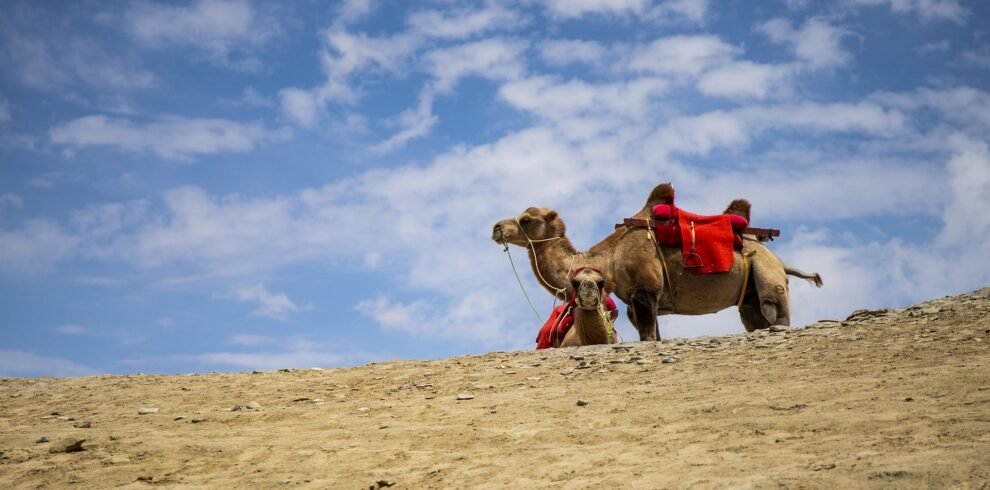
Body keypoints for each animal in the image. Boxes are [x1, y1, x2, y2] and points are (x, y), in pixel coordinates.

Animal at [491, 184, 822, 341]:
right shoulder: (634, 302)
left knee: (777, 316)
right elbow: (653, 336)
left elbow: (648, 337)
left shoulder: (644, 291)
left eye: (527, 219)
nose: (496, 228)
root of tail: (781, 261)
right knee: (754, 320)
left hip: (769, 281)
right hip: (749, 295)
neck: (609, 259)